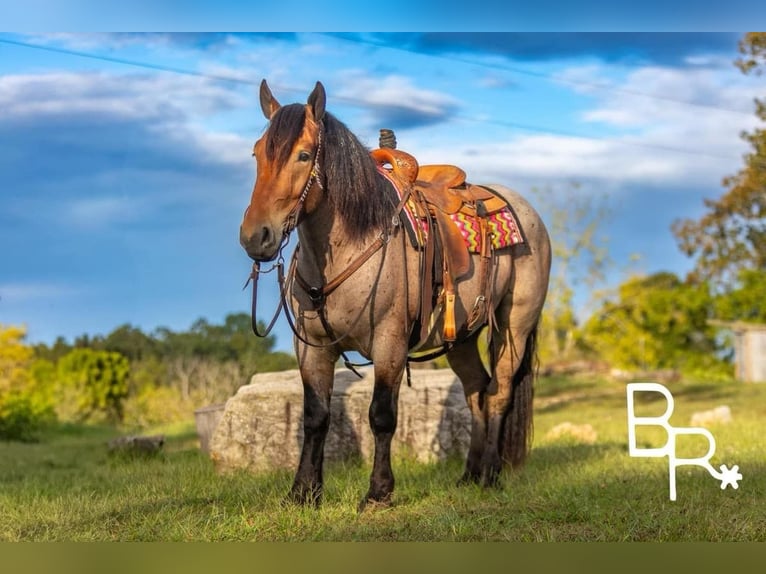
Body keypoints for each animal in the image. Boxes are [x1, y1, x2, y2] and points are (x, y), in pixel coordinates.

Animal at [239, 80, 551, 510]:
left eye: (303, 155)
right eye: (256, 153)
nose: (256, 237)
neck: (350, 245)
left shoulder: (389, 343)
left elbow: (381, 415)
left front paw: (378, 493)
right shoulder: (313, 349)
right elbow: (315, 417)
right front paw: (303, 492)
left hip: (513, 327)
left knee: (499, 393)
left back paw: (490, 474)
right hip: (461, 338)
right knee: (476, 391)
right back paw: (469, 475)